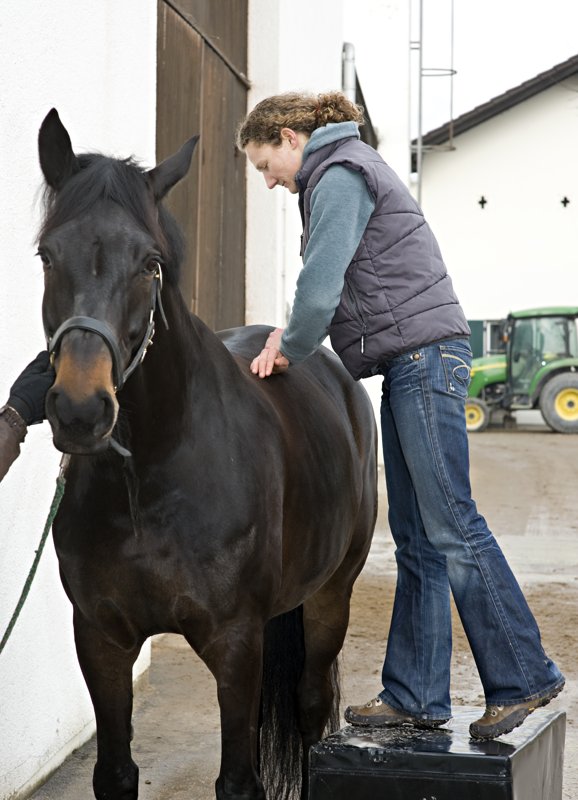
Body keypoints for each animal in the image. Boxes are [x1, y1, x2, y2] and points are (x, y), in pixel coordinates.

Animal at [37, 111, 378, 800]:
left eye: (150, 263)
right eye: (46, 255)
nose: (81, 410)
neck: (149, 480)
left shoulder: (235, 641)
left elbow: (238, 781)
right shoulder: (101, 641)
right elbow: (117, 773)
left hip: (331, 595)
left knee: (307, 712)